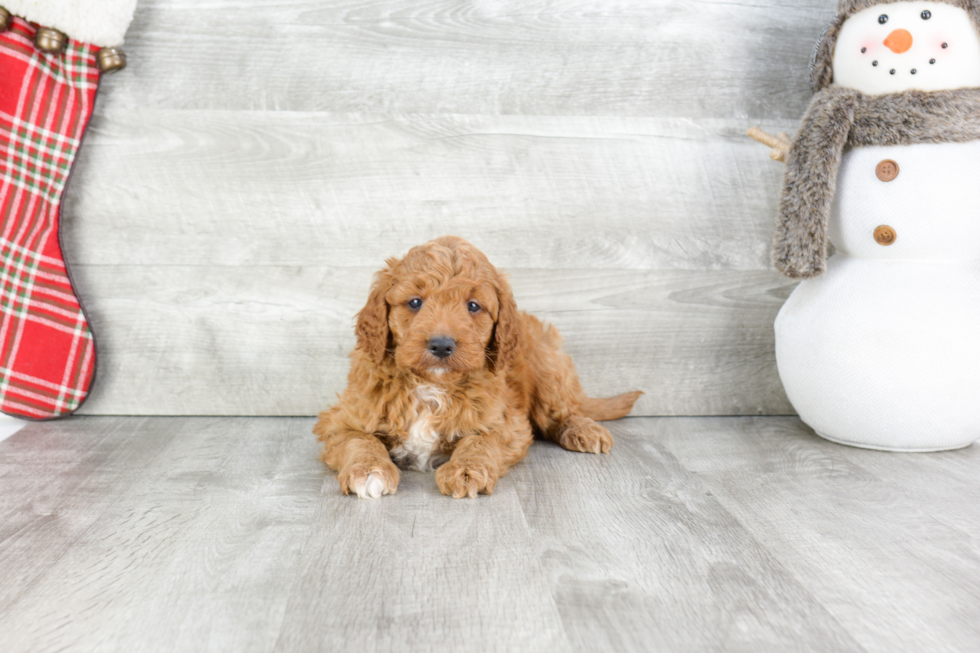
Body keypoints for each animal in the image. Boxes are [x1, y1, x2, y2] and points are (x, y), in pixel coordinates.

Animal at [316, 237, 644, 496]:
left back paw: (584, 430)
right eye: (415, 302)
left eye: (473, 306)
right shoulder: (340, 420)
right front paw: (369, 471)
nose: (441, 345)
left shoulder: (506, 423)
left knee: (565, 410)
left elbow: (480, 442)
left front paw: (466, 471)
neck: (432, 384)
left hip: (547, 365)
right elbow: (359, 439)